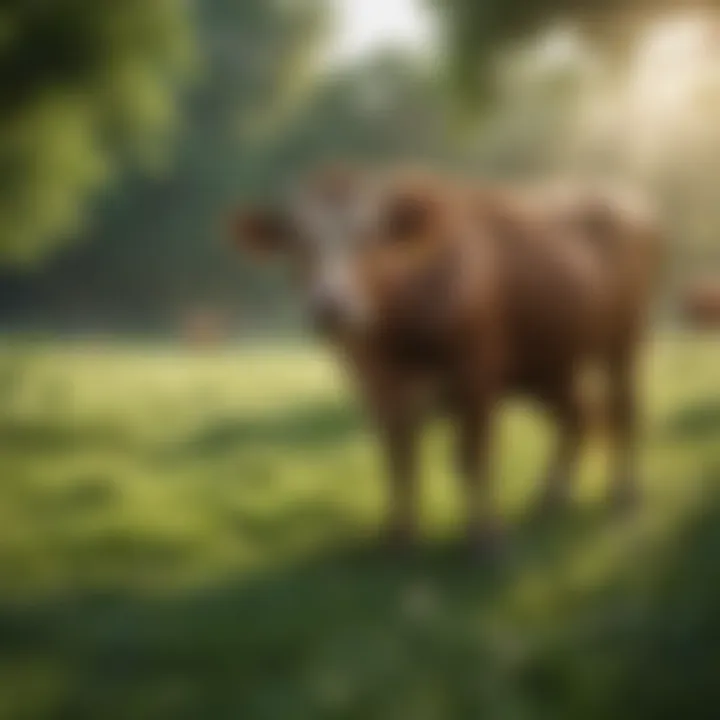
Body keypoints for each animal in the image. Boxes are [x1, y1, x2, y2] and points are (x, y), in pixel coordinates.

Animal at [232, 166, 664, 556]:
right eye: (297, 241)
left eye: (370, 236)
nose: (331, 307)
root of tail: (624, 198)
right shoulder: (379, 392)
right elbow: (399, 461)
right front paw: (399, 536)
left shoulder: (476, 376)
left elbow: (472, 457)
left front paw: (487, 539)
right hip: (549, 360)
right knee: (578, 415)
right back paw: (552, 495)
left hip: (623, 340)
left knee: (624, 409)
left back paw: (625, 493)